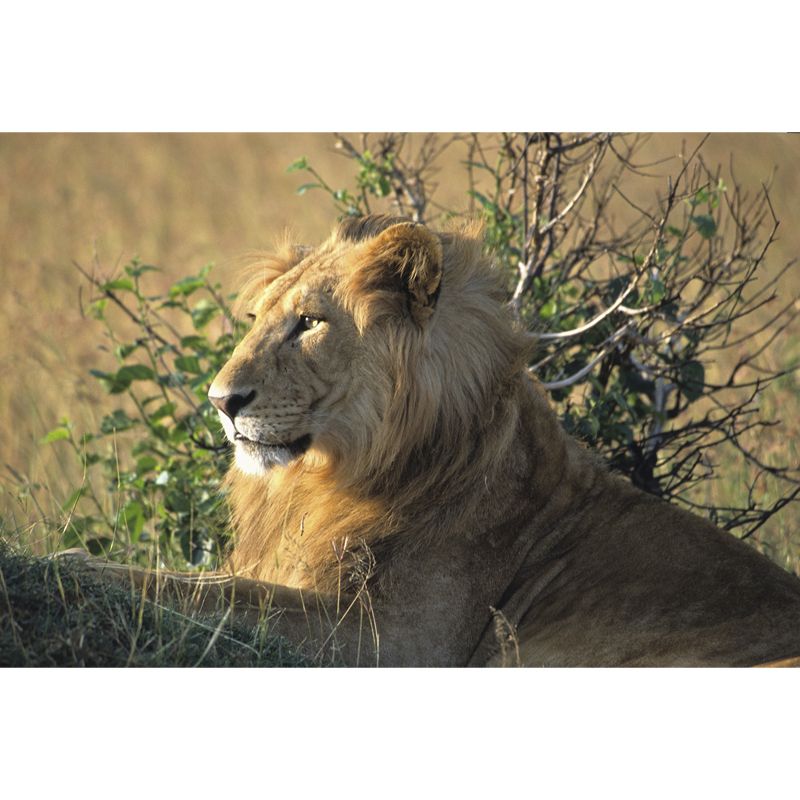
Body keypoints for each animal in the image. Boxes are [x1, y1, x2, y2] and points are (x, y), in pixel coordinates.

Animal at [73, 214, 800, 666]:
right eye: (255, 318)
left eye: (309, 323)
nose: (221, 402)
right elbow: (199, 580)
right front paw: (76, 561)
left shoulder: (395, 641)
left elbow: (213, 595)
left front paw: (73, 570)